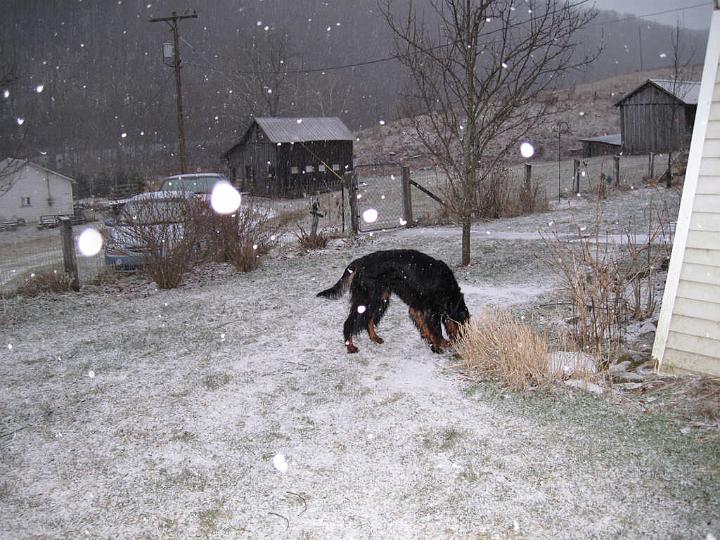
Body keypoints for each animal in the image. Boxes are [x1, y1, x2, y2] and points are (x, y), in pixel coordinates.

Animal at [318, 250, 470, 354]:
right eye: (464, 326)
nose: (464, 341)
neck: (449, 288)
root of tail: (359, 262)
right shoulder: (432, 311)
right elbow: (436, 331)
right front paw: (440, 345)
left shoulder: (418, 307)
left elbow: (425, 327)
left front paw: (431, 341)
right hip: (368, 299)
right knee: (350, 322)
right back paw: (350, 346)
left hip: (380, 298)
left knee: (369, 320)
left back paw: (375, 337)